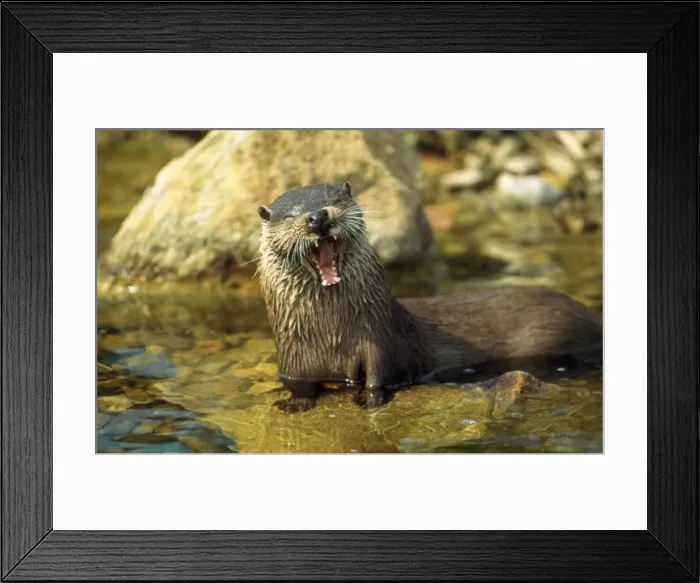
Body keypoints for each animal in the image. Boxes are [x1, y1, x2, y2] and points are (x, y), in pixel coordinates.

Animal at [257, 183, 602, 413]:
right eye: (290, 215)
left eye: (334, 199)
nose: (317, 217)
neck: (332, 335)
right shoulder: (293, 358)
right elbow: (299, 384)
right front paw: (296, 403)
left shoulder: (378, 339)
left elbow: (378, 374)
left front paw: (369, 397)